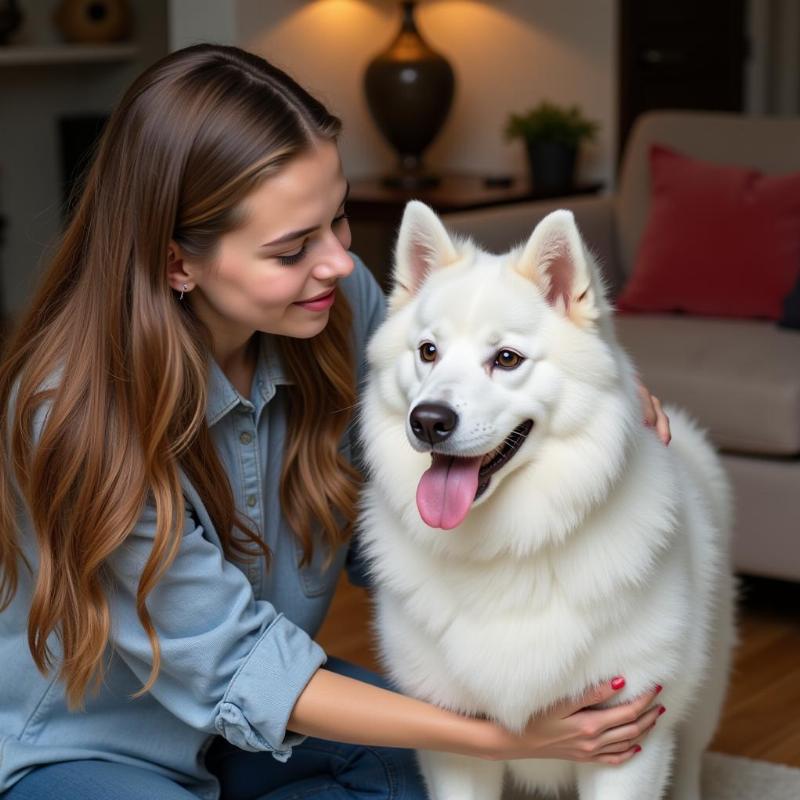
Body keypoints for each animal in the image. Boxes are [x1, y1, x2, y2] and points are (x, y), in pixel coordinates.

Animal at [356, 202, 736, 800]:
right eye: (428, 352)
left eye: (507, 359)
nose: (429, 421)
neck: (512, 547)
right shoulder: (453, 741)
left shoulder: (633, 738)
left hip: (701, 704)